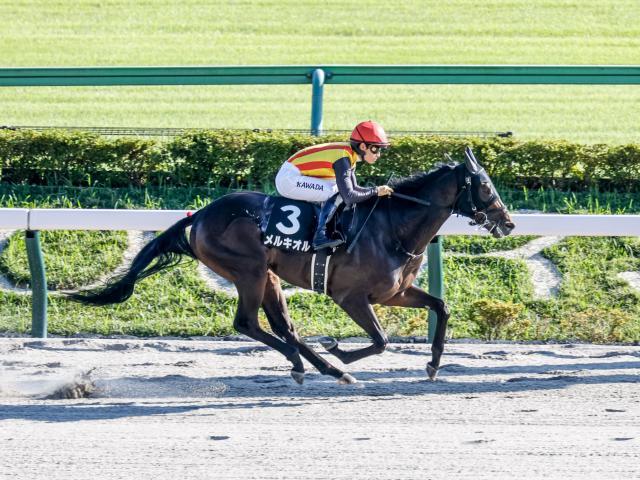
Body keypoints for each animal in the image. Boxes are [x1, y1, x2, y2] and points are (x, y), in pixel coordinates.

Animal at [69, 148, 516, 384]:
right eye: (485, 186)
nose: (509, 222)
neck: (394, 229)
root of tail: (199, 215)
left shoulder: (396, 292)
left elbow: (441, 307)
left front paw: (433, 364)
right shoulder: (351, 296)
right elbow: (381, 340)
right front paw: (340, 351)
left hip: (267, 274)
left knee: (284, 327)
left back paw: (315, 366)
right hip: (248, 271)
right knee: (248, 323)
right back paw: (322, 366)